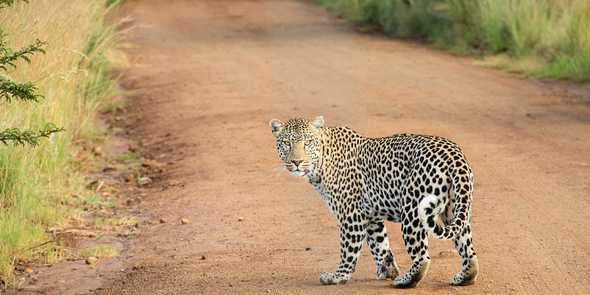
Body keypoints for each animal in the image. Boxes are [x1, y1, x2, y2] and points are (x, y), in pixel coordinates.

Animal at [270, 116, 478, 290]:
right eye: (286, 143)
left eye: (308, 143)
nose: (297, 162)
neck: (321, 162)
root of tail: (454, 155)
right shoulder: (371, 217)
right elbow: (380, 245)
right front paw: (387, 270)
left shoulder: (351, 215)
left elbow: (349, 249)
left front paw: (338, 276)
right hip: (455, 208)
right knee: (467, 248)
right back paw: (464, 277)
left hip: (412, 210)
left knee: (422, 257)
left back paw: (405, 281)